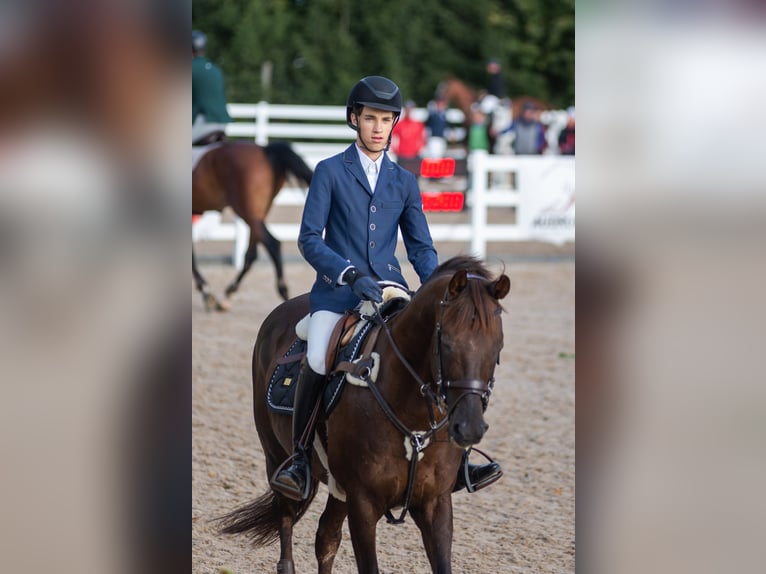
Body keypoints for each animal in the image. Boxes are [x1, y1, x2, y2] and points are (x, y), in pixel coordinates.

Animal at [194, 141, 314, 310]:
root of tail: (265, 150)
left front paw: (205, 292)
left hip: (246, 210)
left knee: (272, 243)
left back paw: (283, 293)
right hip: (258, 212)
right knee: (252, 254)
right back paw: (229, 294)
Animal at [219, 258, 512, 574]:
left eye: (497, 347)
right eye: (445, 342)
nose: (470, 428)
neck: (412, 417)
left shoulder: (436, 503)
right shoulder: (363, 503)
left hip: (338, 485)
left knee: (326, 538)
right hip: (276, 457)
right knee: (286, 526)